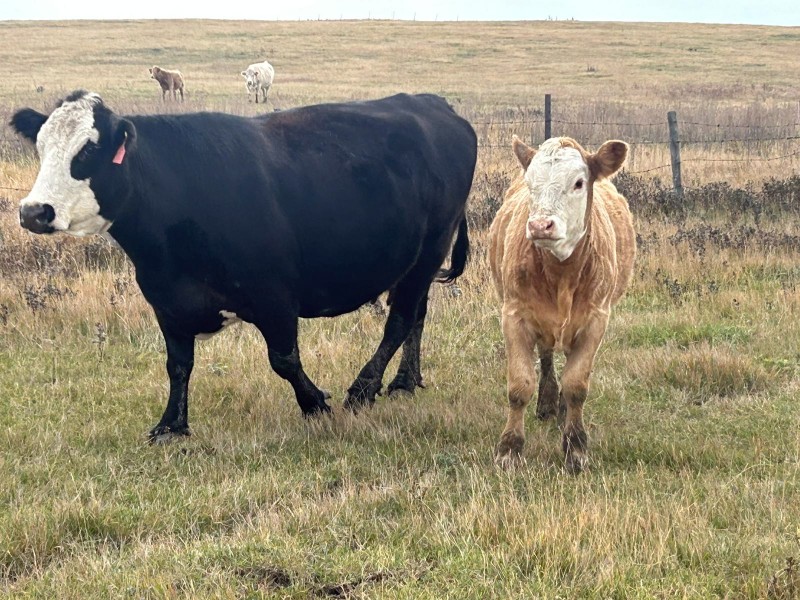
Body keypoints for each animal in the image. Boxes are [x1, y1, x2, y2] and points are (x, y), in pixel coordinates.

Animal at [10, 90, 477, 443]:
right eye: (41, 147)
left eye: (88, 149)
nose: (34, 212)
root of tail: (432, 103)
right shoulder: (167, 302)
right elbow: (177, 365)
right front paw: (171, 426)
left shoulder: (275, 296)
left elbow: (283, 359)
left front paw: (316, 405)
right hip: (416, 263)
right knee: (417, 316)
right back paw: (404, 382)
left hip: (429, 250)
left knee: (399, 322)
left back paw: (363, 390)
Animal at [489, 135, 635, 473]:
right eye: (531, 183)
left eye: (578, 183)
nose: (540, 225)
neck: (560, 274)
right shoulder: (514, 316)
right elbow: (519, 386)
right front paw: (509, 450)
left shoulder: (595, 320)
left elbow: (576, 385)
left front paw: (575, 448)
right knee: (545, 357)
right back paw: (547, 403)